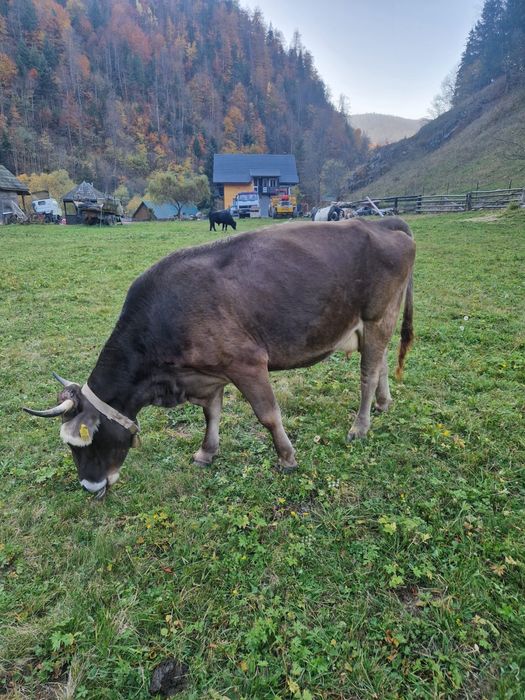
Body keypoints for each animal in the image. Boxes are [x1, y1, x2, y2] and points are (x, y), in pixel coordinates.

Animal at [24, 217, 415, 498]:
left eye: (86, 441)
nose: (90, 486)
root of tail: (381, 223)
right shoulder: (209, 372)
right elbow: (211, 414)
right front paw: (206, 453)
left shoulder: (247, 362)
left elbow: (268, 415)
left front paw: (287, 458)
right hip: (377, 323)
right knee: (380, 364)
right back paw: (383, 404)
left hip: (376, 318)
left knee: (367, 374)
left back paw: (360, 426)